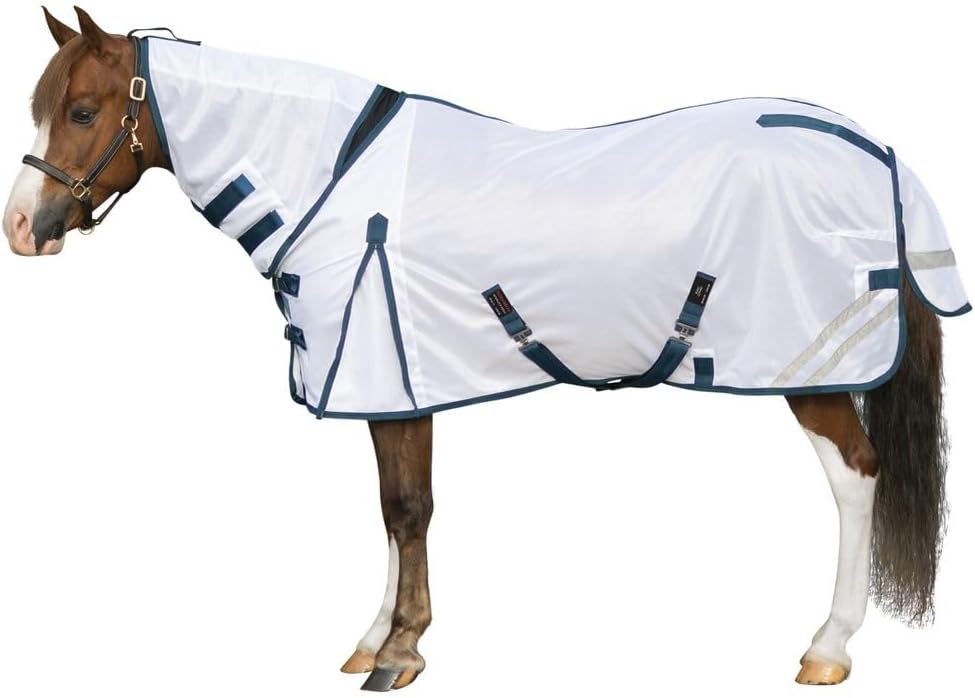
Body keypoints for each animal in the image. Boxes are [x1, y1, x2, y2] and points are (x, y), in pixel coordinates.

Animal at [3, 7, 969, 692]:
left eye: (83, 111)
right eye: (42, 108)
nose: (21, 229)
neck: (330, 177)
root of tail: (875, 150)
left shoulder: (391, 375)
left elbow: (408, 510)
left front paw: (401, 651)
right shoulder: (386, 386)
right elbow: (390, 511)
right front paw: (374, 640)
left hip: (808, 375)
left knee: (855, 476)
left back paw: (827, 648)